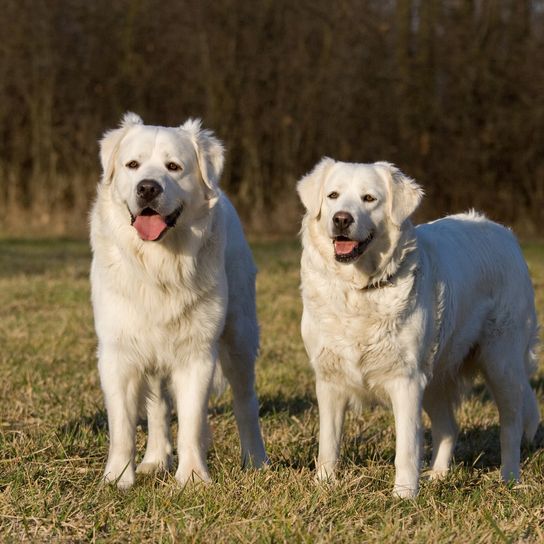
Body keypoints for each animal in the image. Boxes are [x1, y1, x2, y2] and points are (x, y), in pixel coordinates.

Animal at [91, 113, 268, 488]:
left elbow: (190, 421)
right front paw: (118, 478)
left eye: (173, 167)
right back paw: (155, 460)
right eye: (132, 165)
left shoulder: (197, 353)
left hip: (239, 336)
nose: (147, 188)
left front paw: (193, 479)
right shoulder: (118, 352)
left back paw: (257, 461)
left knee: (245, 401)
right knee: (158, 406)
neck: (159, 264)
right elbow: (123, 425)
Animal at [298, 157, 540, 498]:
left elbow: (407, 448)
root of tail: (504, 233)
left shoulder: (406, 380)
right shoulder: (330, 379)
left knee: (511, 424)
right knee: (449, 427)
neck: (360, 290)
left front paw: (403, 496)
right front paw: (324, 485)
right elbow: (328, 443)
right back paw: (438, 476)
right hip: (437, 374)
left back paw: (509, 477)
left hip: (501, 363)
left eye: (369, 199)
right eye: (333, 195)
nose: (341, 219)